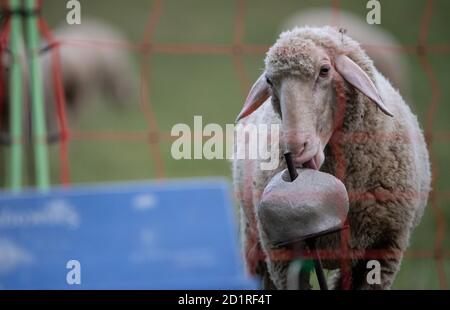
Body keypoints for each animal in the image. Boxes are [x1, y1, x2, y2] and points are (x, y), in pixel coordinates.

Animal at [232, 25, 432, 290]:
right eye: (270, 81)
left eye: (325, 70)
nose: (296, 149)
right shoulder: (282, 256)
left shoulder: (385, 247)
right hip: (254, 241)